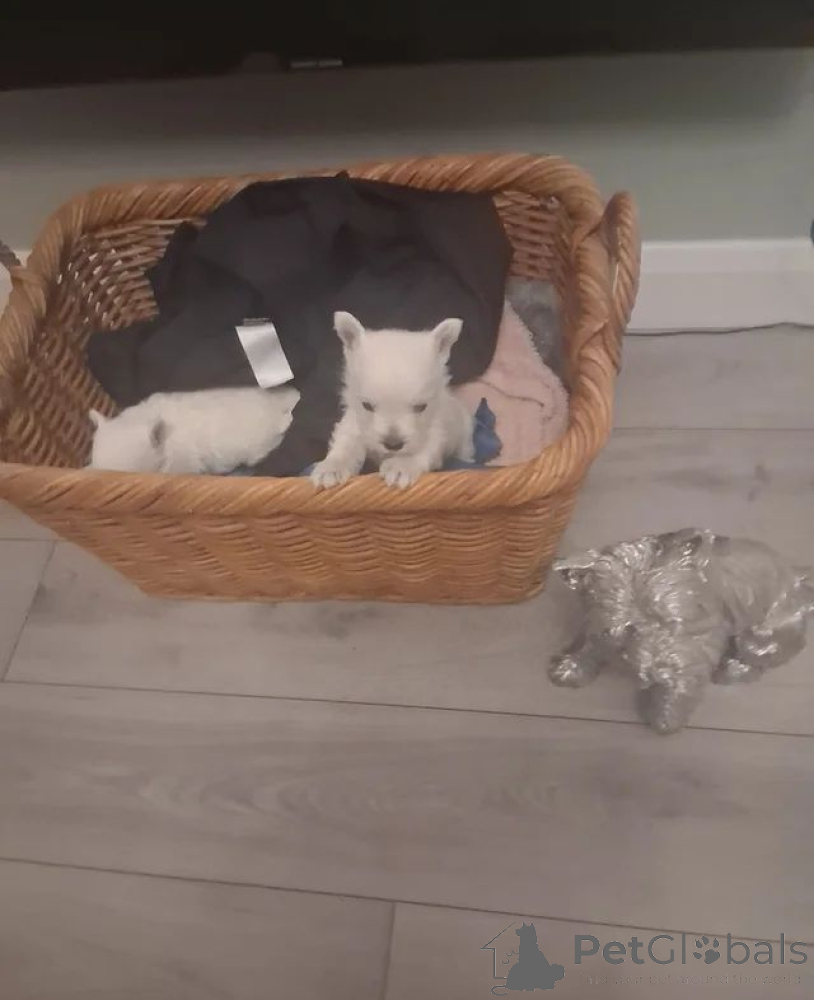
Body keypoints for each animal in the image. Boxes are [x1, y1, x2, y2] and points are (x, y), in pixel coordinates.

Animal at [310, 311, 474, 489]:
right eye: (367, 406)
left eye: (421, 407)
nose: (393, 444)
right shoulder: (354, 421)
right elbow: (346, 442)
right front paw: (332, 467)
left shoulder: (436, 429)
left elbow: (424, 448)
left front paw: (402, 465)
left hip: (465, 436)